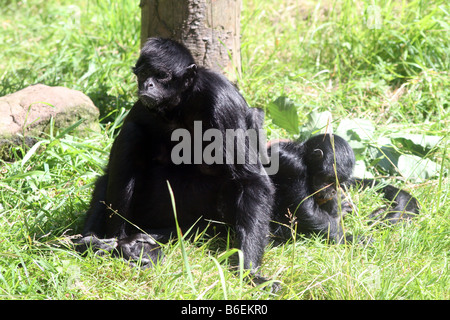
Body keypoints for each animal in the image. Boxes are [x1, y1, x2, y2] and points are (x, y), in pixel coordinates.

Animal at [75, 37, 272, 272]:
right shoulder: (142, 106)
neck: (180, 105)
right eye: (144, 74)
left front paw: (249, 271)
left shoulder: (222, 101)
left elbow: (250, 179)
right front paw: (92, 242)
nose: (148, 85)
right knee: (132, 133)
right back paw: (122, 242)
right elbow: (106, 175)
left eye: (161, 75)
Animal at [268, 133, 418, 242]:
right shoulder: (292, 164)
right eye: (330, 179)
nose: (334, 190)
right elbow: (305, 210)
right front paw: (349, 240)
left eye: (339, 182)